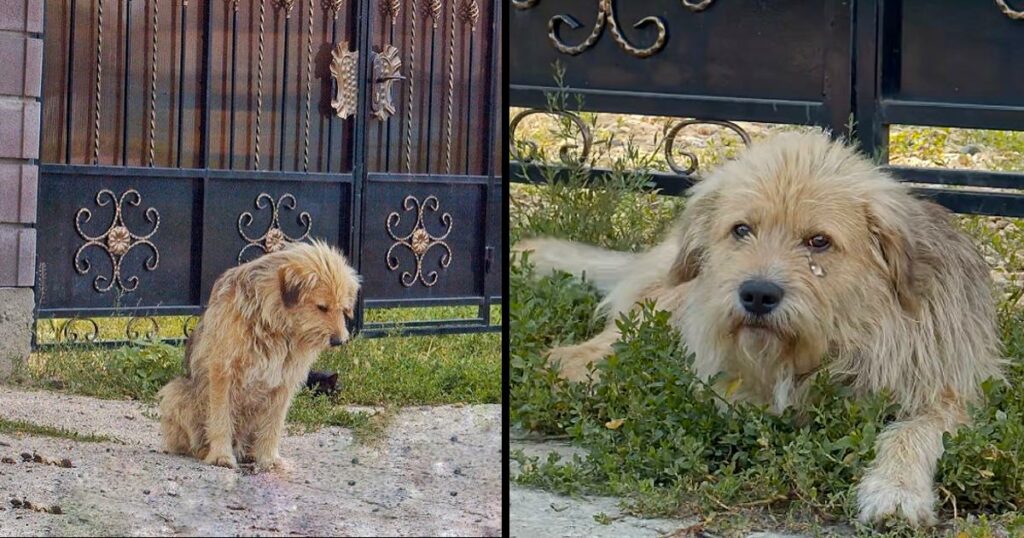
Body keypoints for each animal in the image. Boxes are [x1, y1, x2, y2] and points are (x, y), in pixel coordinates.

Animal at [157, 238, 362, 469]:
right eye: (321, 307)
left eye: (343, 309)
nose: (339, 341)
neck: (275, 325)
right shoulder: (222, 371)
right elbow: (220, 418)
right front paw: (220, 455)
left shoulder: (284, 381)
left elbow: (273, 425)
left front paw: (269, 458)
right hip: (175, 392)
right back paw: (205, 451)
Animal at [516, 132, 1003, 524]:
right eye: (742, 230)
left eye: (819, 241)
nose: (757, 294)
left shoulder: (946, 392)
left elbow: (910, 433)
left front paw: (895, 492)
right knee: (576, 354)